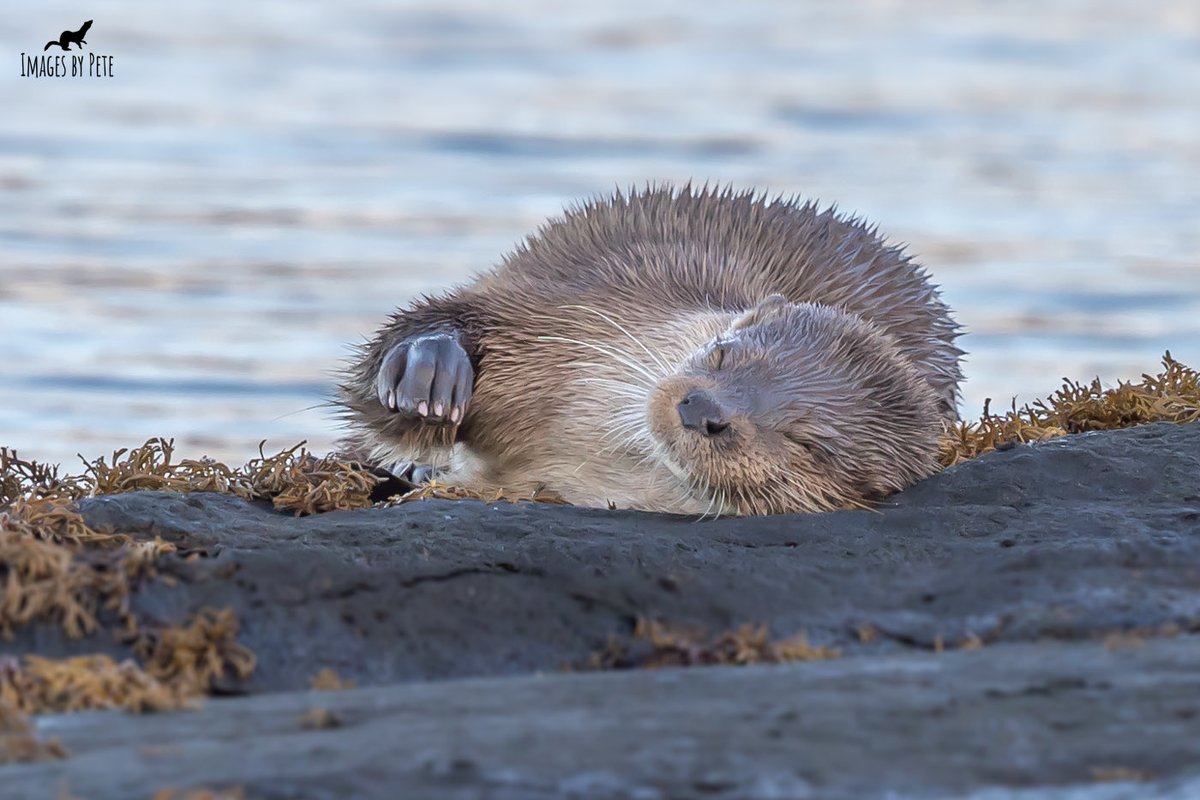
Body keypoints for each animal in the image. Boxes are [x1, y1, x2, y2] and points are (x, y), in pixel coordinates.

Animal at [338, 184, 964, 515]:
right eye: (723, 353)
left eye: (808, 441)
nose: (703, 407)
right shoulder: (569, 309)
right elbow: (454, 317)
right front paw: (429, 370)